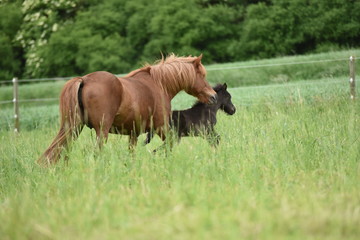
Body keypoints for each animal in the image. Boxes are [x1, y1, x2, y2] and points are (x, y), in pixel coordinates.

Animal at [38, 53, 217, 165]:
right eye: (202, 75)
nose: (213, 96)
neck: (159, 84)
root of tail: (84, 79)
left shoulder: (133, 133)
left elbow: (131, 154)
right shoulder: (162, 128)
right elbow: (169, 146)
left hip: (74, 128)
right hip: (100, 131)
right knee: (95, 153)